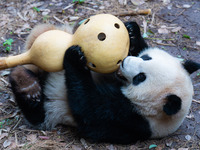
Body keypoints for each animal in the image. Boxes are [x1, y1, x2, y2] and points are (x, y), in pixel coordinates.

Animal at [8, 21, 199, 144]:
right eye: (146, 57)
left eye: (140, 78)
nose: (124, 61)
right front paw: (132, 31)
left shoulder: (130, 119)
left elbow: (88, 108)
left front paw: (74, 57)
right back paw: (25, 78)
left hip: (51, 109)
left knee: (37, 113)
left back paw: (26, 86)